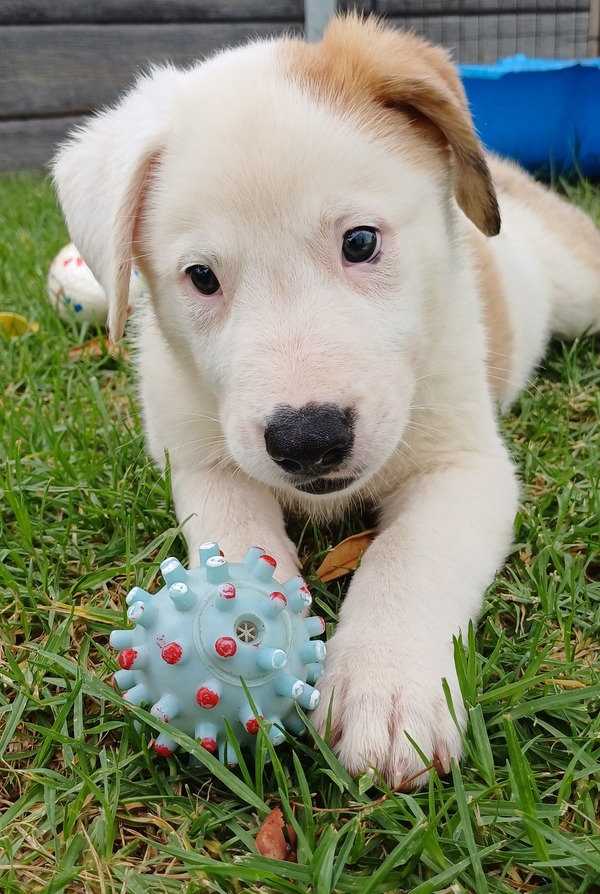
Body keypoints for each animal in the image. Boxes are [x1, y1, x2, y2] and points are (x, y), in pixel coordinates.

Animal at [53, 14, 600, 788]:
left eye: (361, 242)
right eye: (201, 278)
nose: (308, 439)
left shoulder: (465, 467)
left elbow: (408, 557)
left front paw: (385, 686)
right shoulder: (200, 461)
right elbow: (235, 533)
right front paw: (244, 621)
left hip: (581, 286)